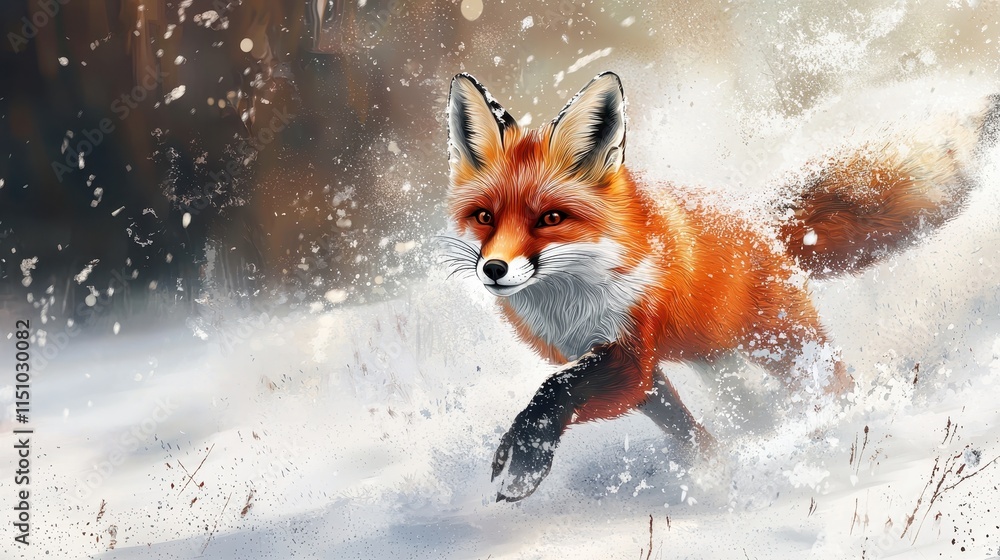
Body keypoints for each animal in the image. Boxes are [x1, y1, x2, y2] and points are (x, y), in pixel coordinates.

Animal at [442, 71, 1000, 502]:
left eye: (551, 218)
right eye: (485, 217)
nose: (494, 269)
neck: (571, 296)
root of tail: (763, 220)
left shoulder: (630, 356)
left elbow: (554, 392)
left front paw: (524, 461)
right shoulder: (627, 367)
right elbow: (678, 429)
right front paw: (710, 471)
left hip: (780, 343)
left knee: (838, 384)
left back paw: (843, 434)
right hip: (718, 357)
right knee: (751, 403)